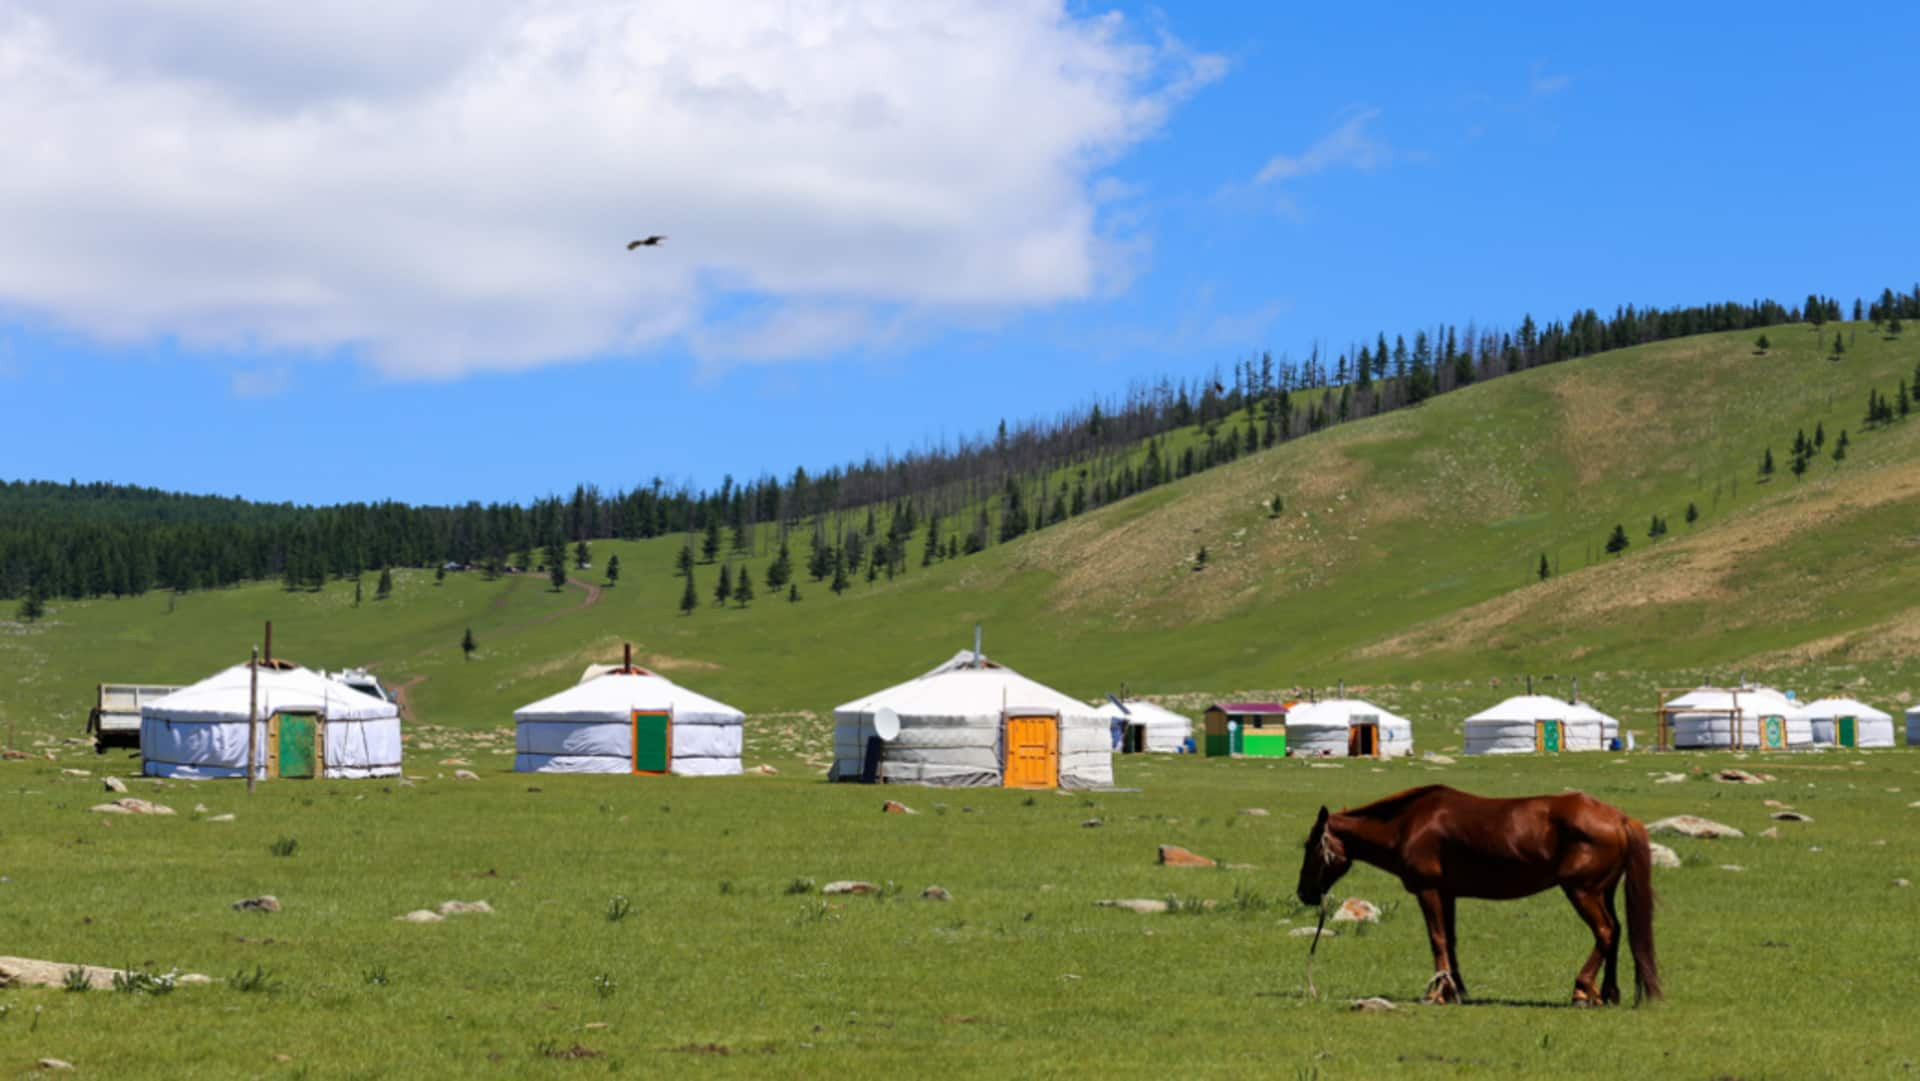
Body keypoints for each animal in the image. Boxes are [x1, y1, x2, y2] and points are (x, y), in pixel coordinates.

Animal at [1297, 787, 1658, 1006]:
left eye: (1310, 845)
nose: (1304, 893)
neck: (1406, 825)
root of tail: (1619, 818)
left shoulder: (1428, 890)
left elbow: (1437, 939)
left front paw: (1438, 993)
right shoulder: (1448, 893)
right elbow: (1450, 940)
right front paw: (1454, 989)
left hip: (1582, 891)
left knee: (1605, 931)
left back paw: (1582, 990)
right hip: (1603, 891)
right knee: (1616, 931)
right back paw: (1608, 993)